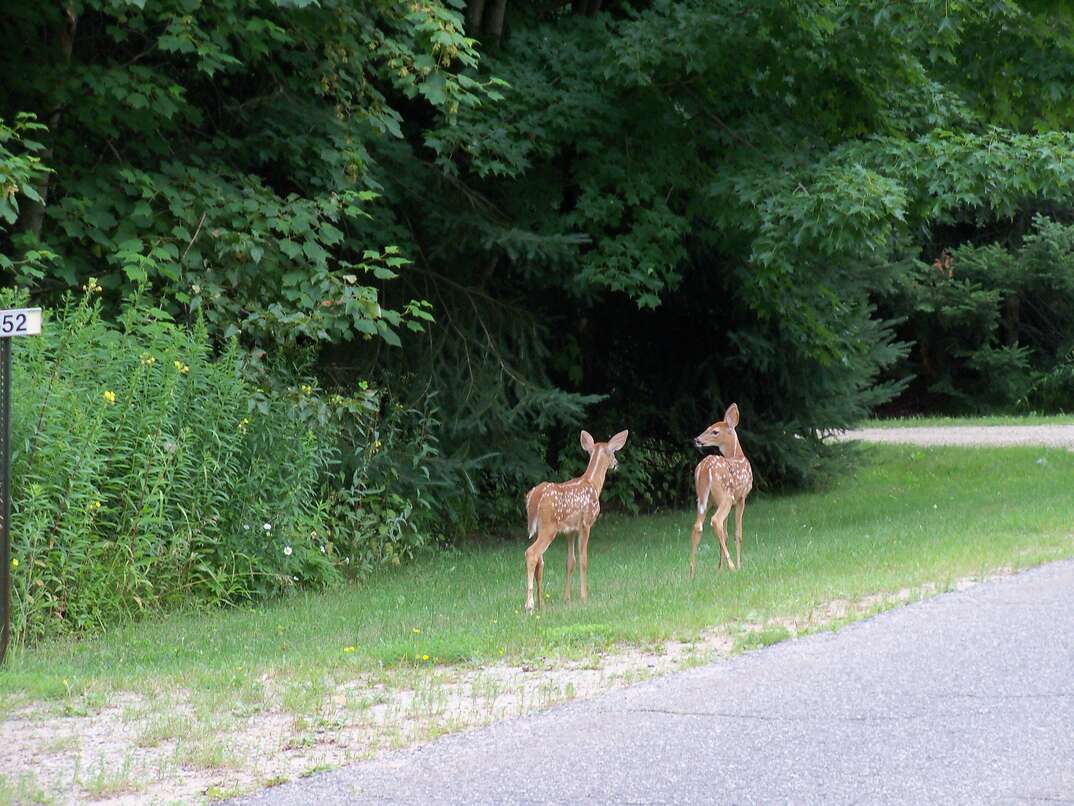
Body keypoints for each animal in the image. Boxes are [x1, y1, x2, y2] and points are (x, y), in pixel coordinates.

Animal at [521, 432, 627, 614]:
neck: (593, 484)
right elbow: (584, 559)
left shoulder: (569, 530)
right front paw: (584, 596)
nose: (616, 464)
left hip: (537, 530)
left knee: (540, 562)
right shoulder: (586, 523)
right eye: (613, 452)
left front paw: (567, 598)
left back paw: (542, 604)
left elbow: (570, 562)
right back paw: (530, 605)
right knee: (531, 553)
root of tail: (534, 496)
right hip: (549, 527)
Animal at [687, 404, 756, 580]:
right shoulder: (741, 497)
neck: (738, 455)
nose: (697, 439)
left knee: (698, 526)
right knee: (715, 521)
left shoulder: (722, 502)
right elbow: (737, 534)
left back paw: (692, 573)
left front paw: (720, 569)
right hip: (726, 497)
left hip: (704, 499)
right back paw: (732, 567)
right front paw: (738, 566)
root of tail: (705, 469)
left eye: (714, 431)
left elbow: (725, 535)